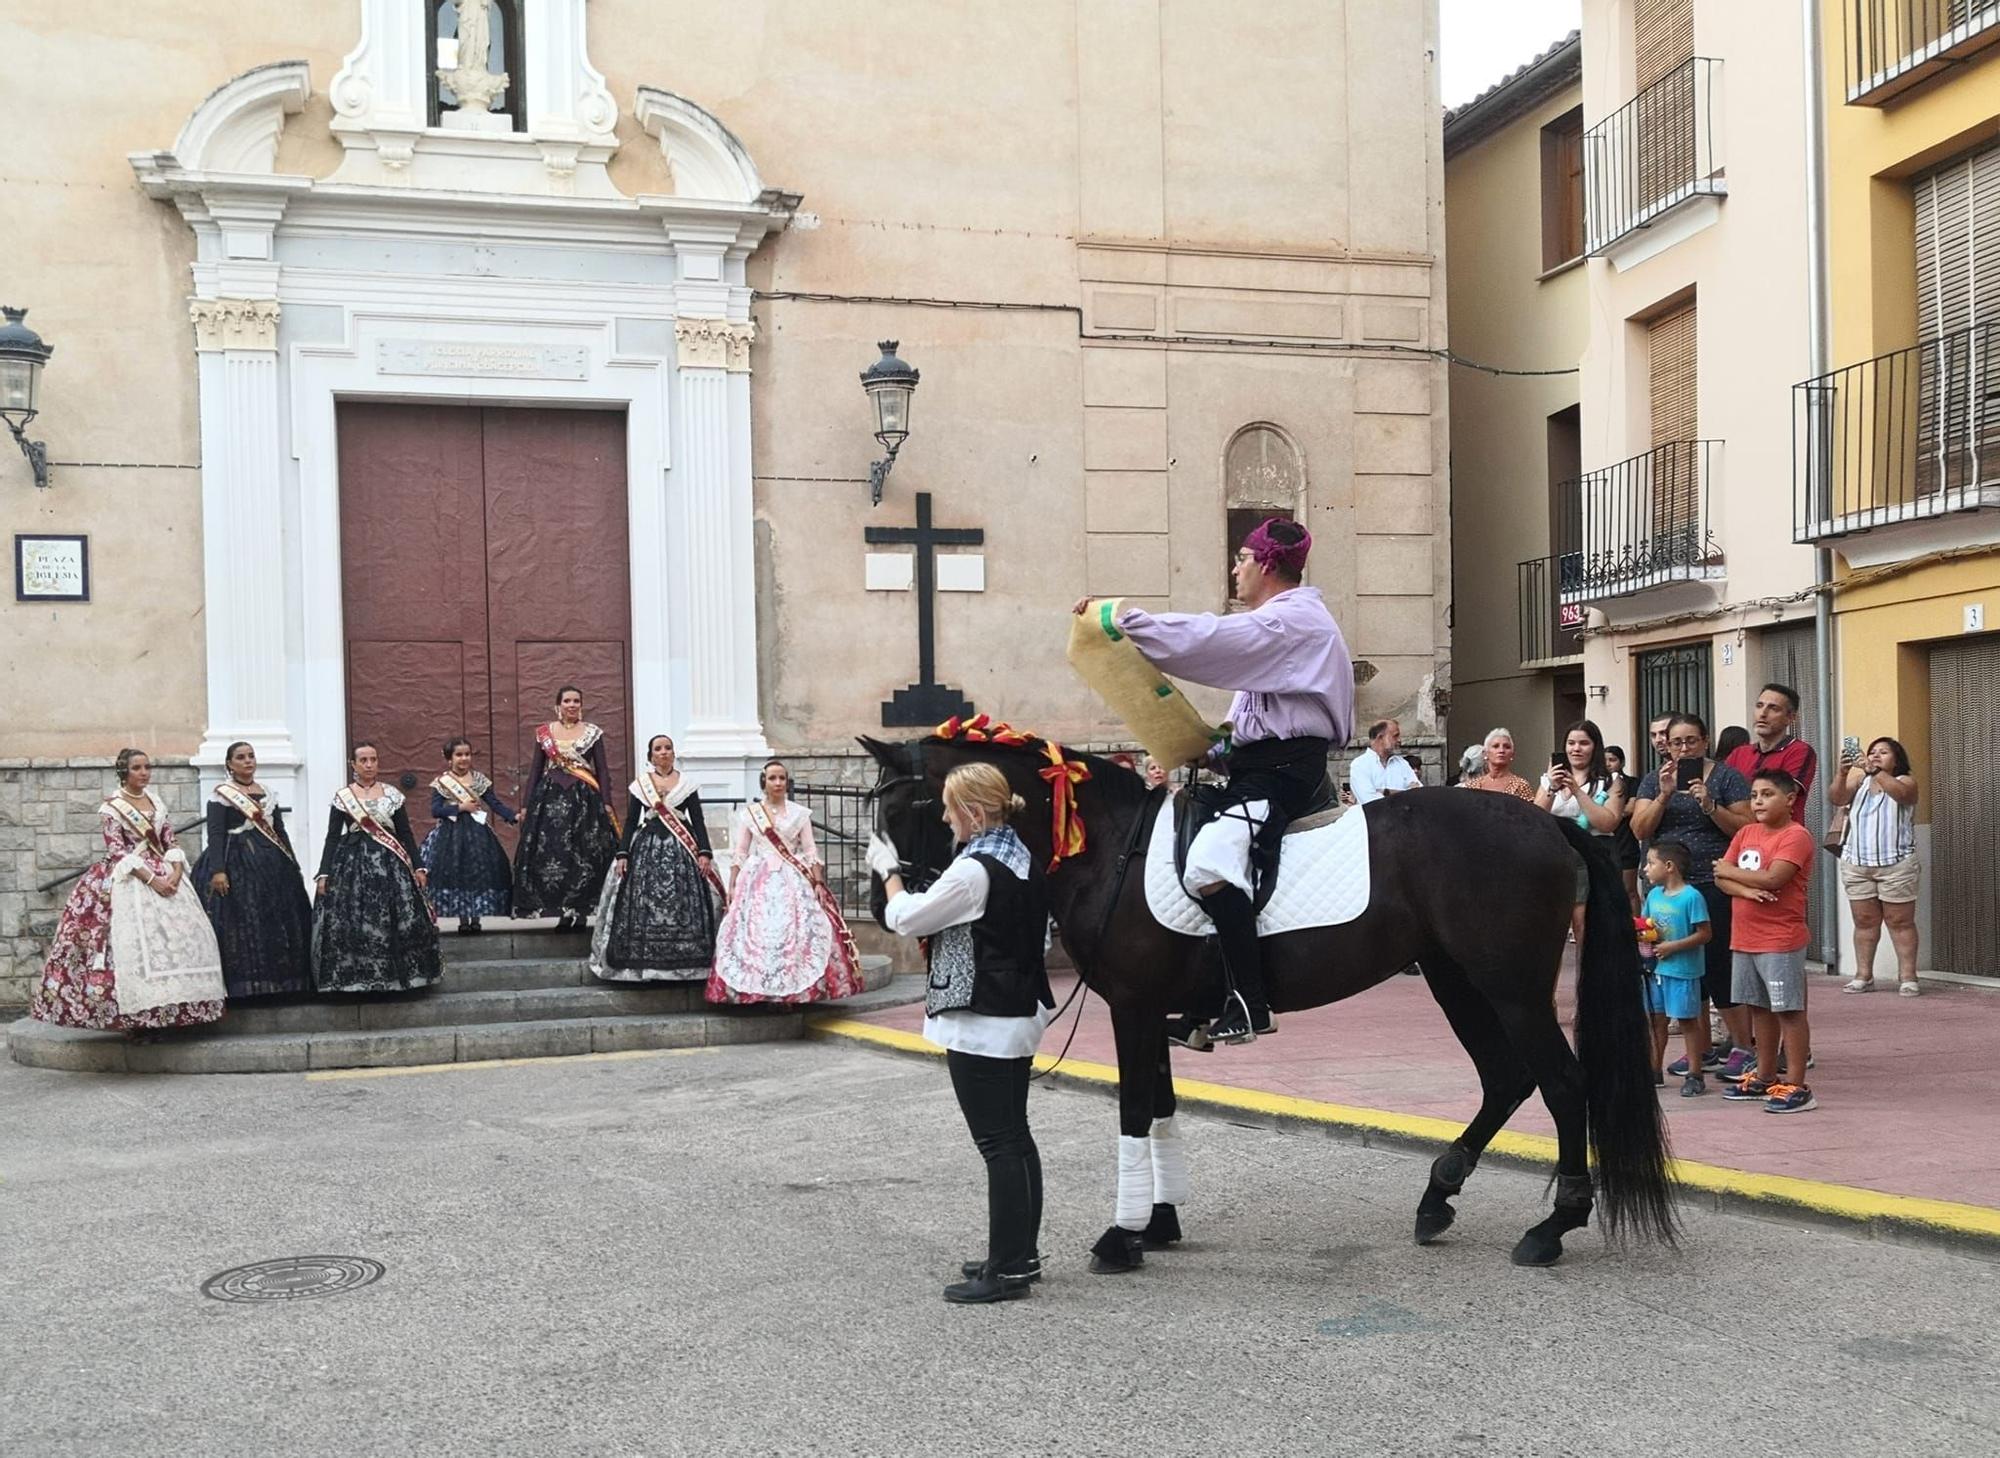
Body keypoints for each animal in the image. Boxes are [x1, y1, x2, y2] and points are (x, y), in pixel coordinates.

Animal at [860, 732, 1672, 1272]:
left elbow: (1134, 1111)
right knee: (1507, 1079)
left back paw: (1554, 1226)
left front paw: (1121, 1239)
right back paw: (1437, 1197)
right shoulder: (1151, 1011)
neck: (1110, 848)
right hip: (1456, 979)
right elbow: (1161, 1109)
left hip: (1510, 988)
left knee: (1563, 1084)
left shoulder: (1131, 1007)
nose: (883, 903)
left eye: (917, 805)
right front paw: (1157, 1225)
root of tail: (1548, 819)